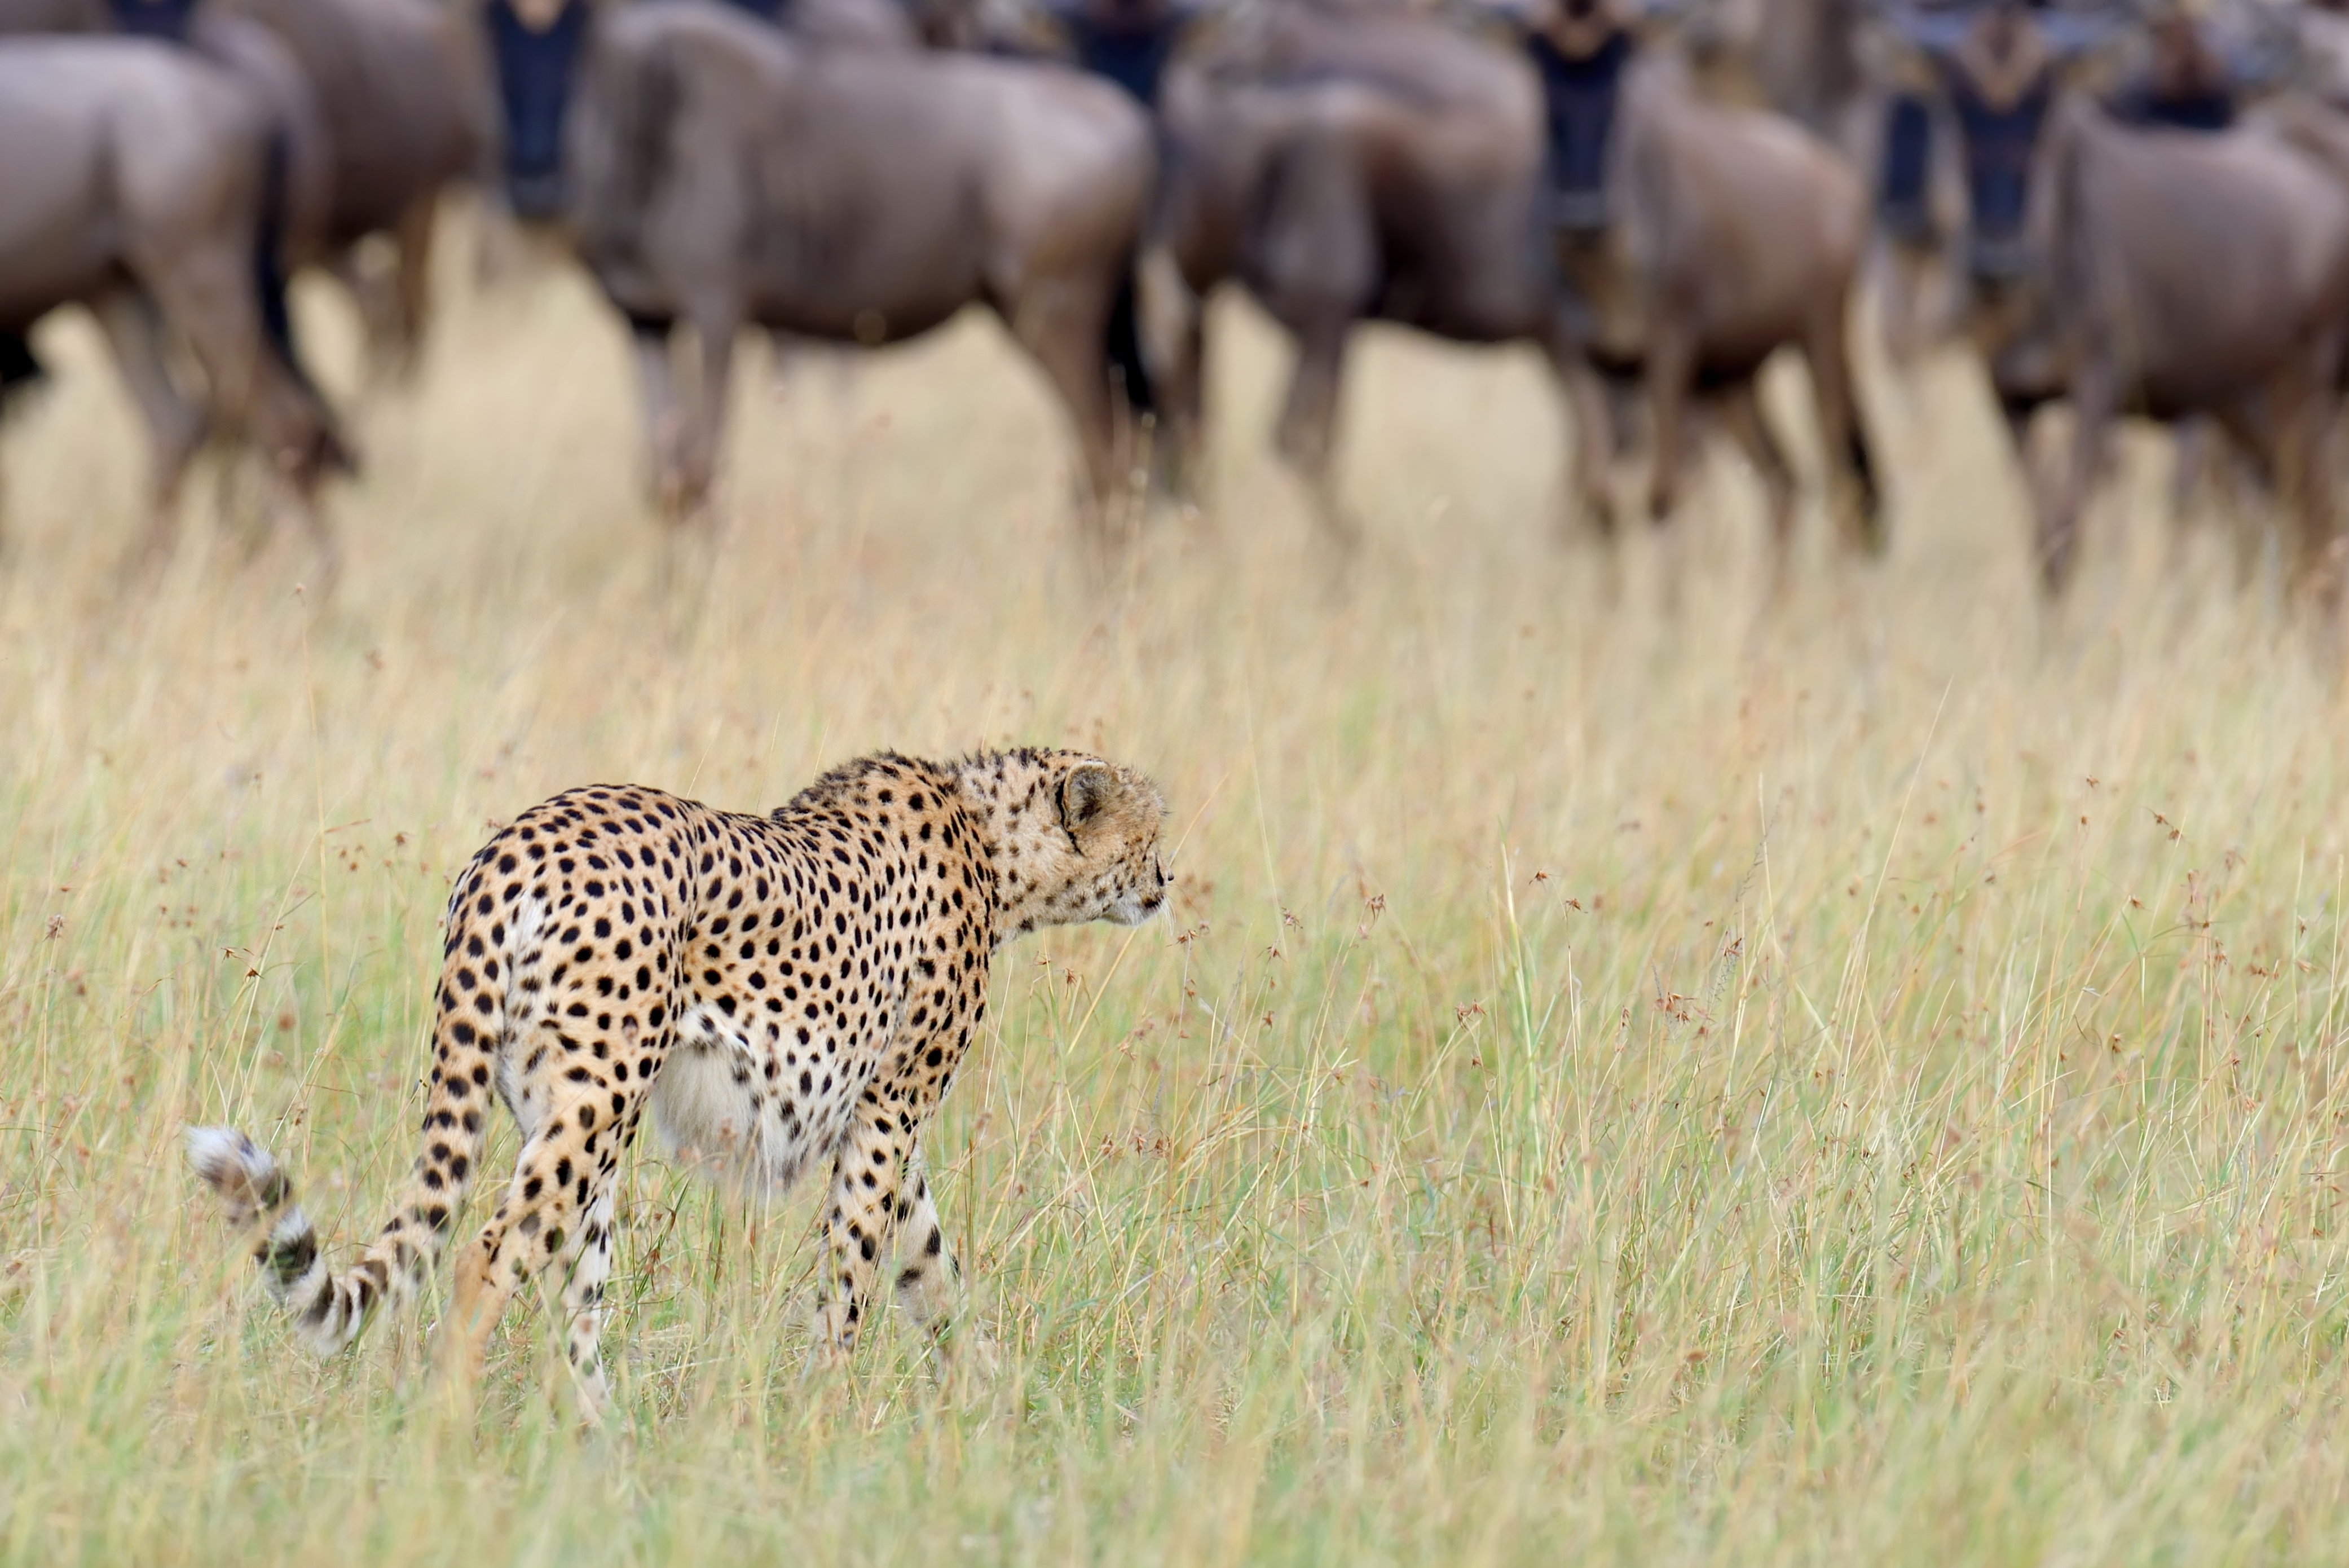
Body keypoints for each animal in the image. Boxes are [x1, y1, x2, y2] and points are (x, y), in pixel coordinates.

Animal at [190, 747, 1165, 1420]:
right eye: (1151, 834)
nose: (1165, 883)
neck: (995, 847)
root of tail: (514, 843)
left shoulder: (882, 1122)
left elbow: (930, 1267)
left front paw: (992, 1399)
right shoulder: (890, 1112)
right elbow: (855, 1274)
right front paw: (826, 1415)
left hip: (567, 1114)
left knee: (574, 1301)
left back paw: (603, 1448)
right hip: (599, 1101)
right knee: (487, 1259)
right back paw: (455, 1430)